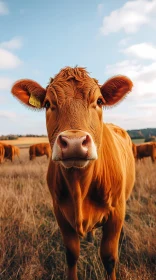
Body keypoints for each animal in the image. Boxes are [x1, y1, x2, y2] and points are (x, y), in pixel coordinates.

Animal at [11, 67, 135, 280]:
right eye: (47, 104)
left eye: (99, 101)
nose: (74, 143)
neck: (80, 186)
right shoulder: (59, 212)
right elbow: (71, 253)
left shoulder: (117, 212)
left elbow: (109, 258)